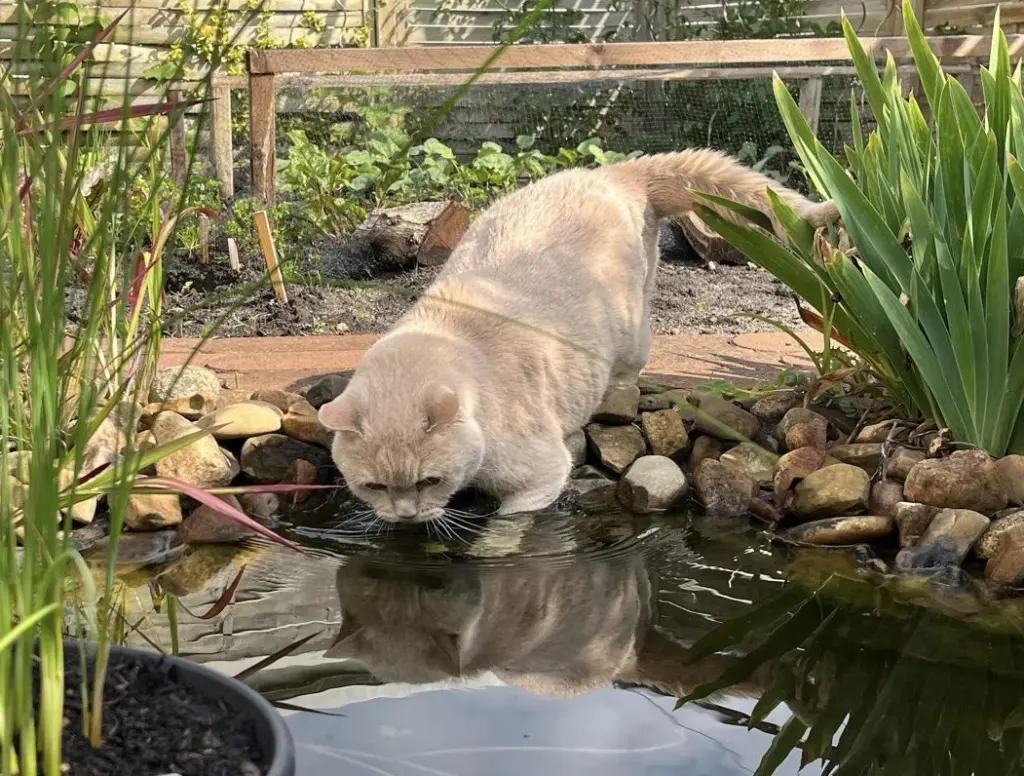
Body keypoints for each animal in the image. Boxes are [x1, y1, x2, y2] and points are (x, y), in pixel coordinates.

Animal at [318, 149, 839, 523]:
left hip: (633, 330)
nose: (404, 518)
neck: (450, 334)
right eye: (374, 487)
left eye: (429, 481)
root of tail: (612, 172)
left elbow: (506, 527)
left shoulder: (540, 477)